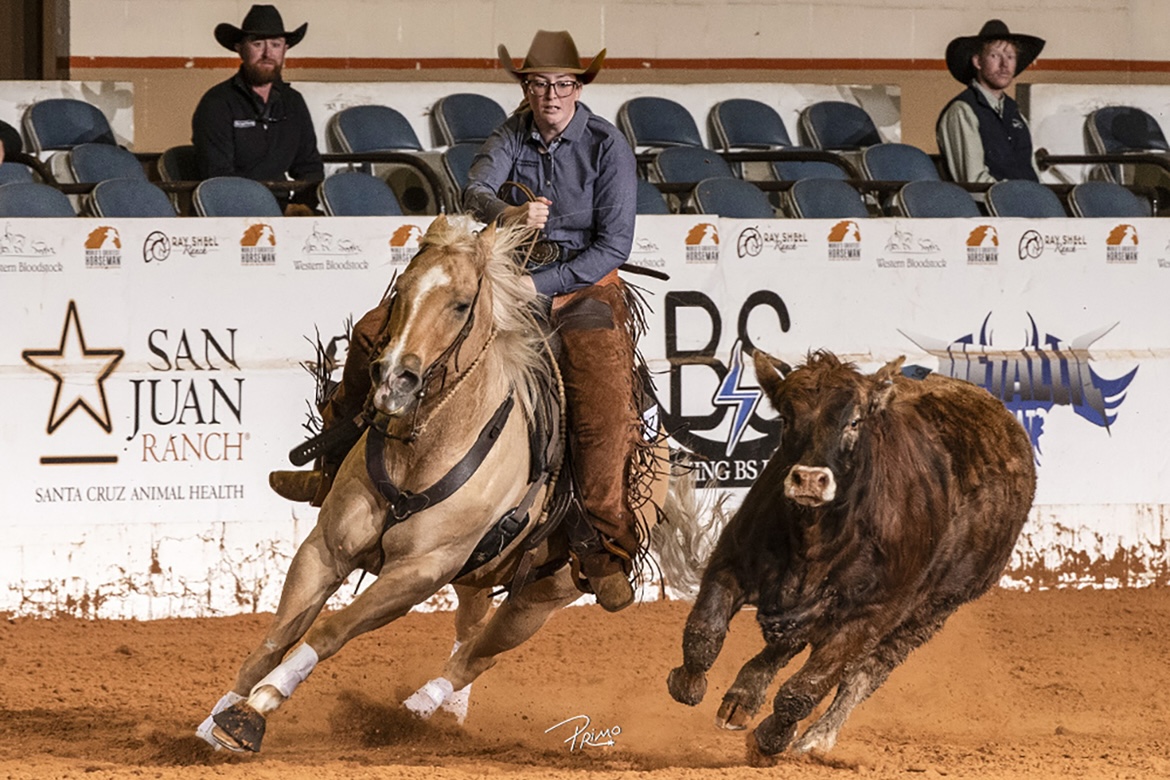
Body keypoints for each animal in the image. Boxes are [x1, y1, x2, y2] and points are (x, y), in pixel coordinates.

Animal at [198, 215, 692, 752]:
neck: (425, 445)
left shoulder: (420, 571)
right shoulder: (326, 548)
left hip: (542, 595)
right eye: (401, 291)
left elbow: (330, 632)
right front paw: (218, 714)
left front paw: (254, 711)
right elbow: (276, 637)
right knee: (468, 634)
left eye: (460, 303)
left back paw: (417, 708)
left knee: (478, 656)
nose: (394, 378)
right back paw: (446, 716)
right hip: (480, 574)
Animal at [667, 349, 1036, 766]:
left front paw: (772, 738)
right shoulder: (731, 561)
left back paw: (816, 737)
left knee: (864, 674)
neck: (814, 540)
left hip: (931, 612)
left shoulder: (869, 615)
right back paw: (742, 698)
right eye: (787, 418)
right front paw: (688, 682)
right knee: (789, 643)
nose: (810, 480)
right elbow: (704, 633)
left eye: (854, 422)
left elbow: (805, 689)